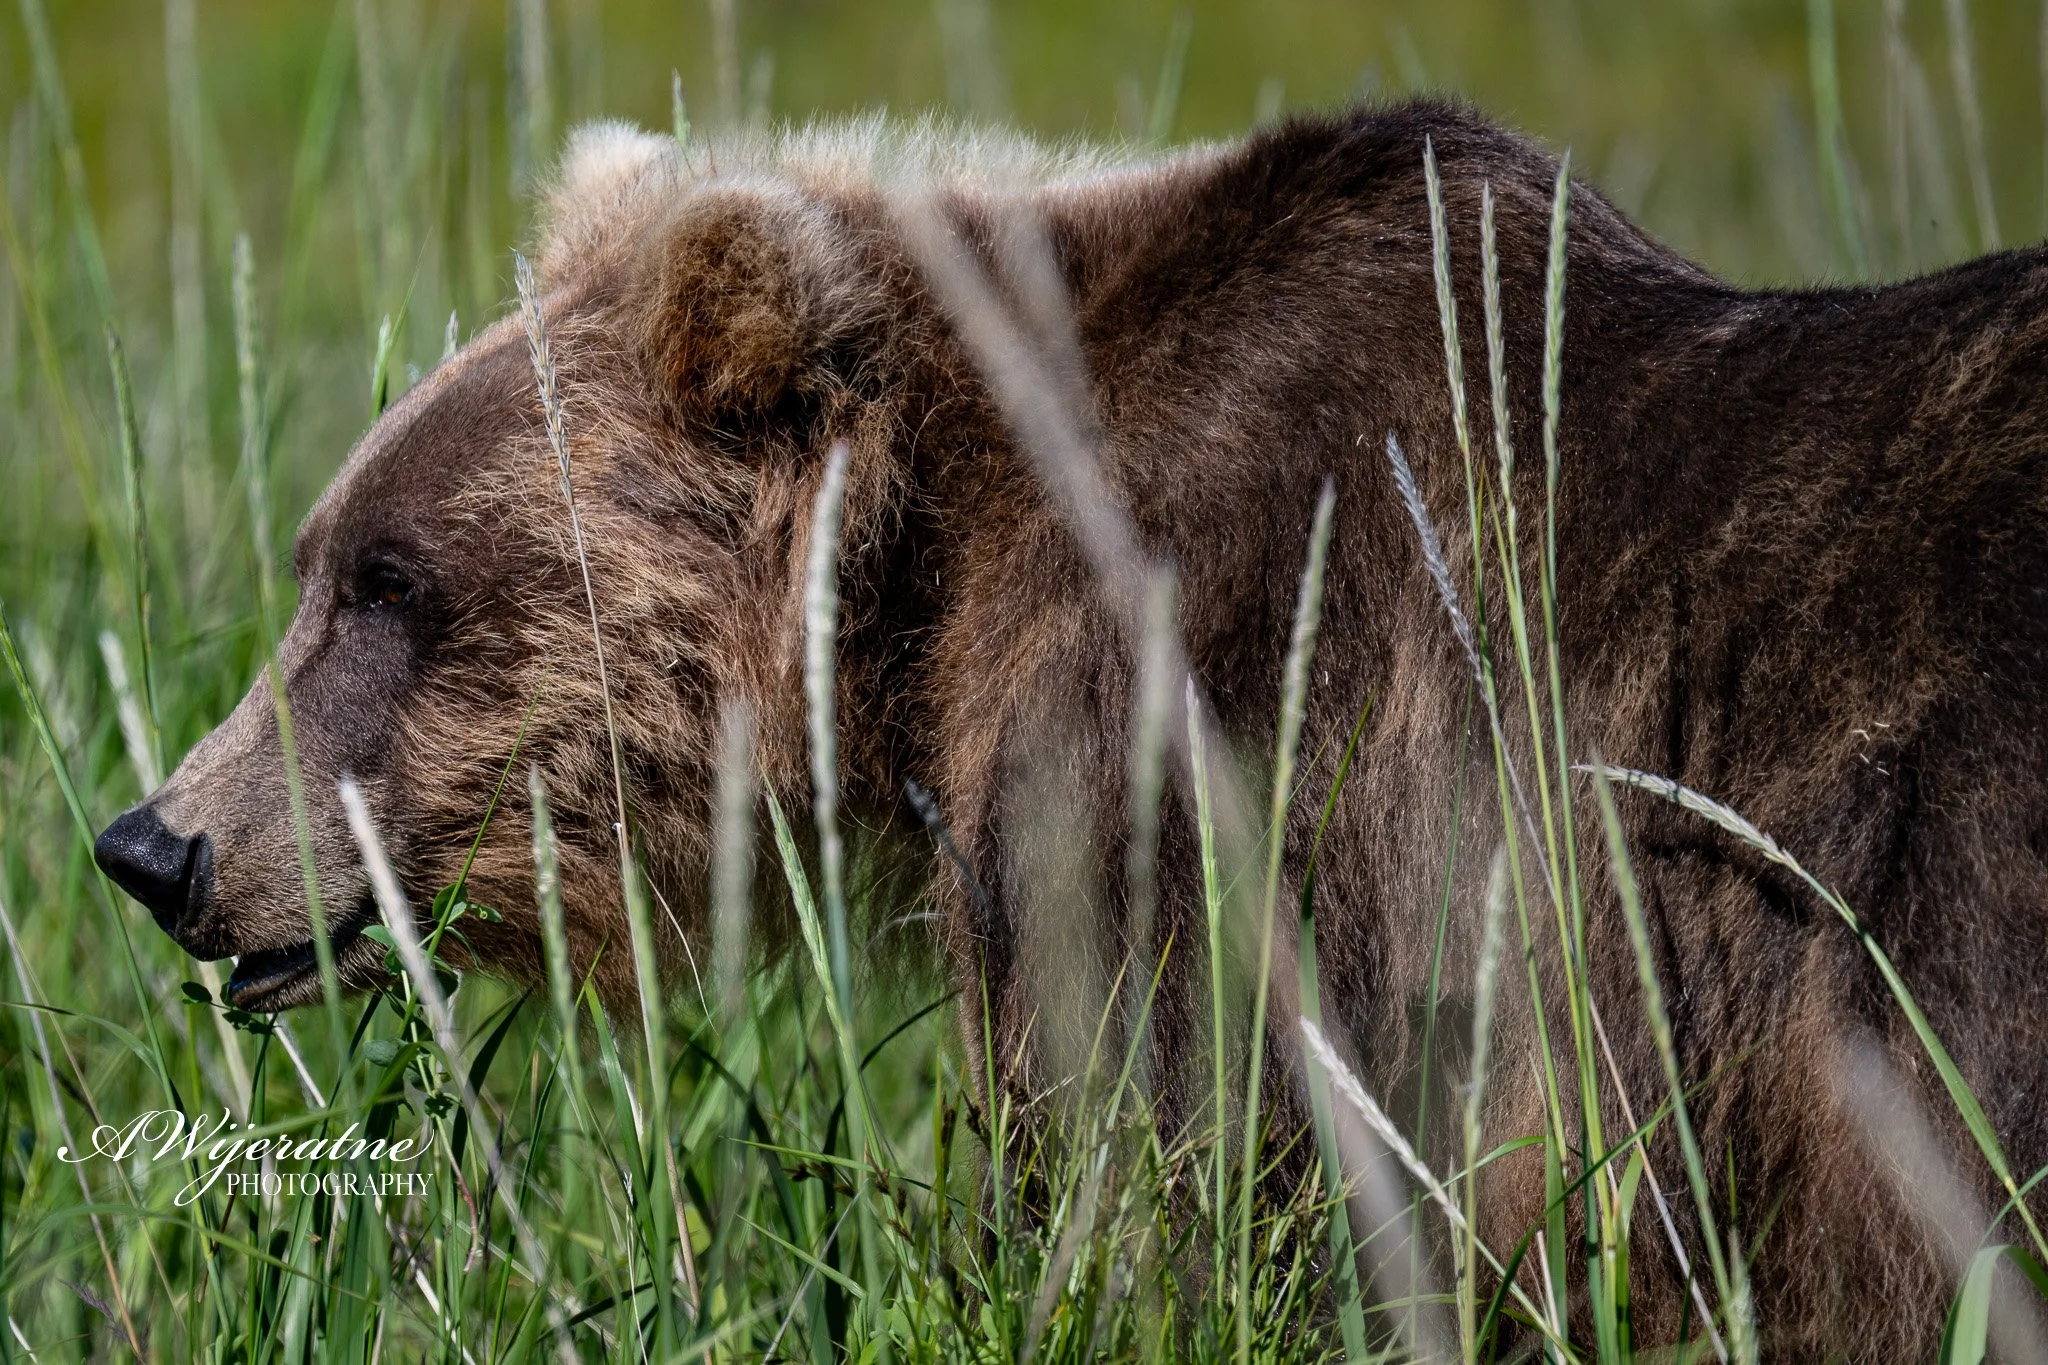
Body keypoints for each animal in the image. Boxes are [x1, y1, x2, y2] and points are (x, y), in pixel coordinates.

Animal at [91, 100, 2048, 1359]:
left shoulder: (1210, 747)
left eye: (391, 579)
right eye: (314, 557)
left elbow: (1156, 1173)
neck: (927, 567)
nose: (154, 842)